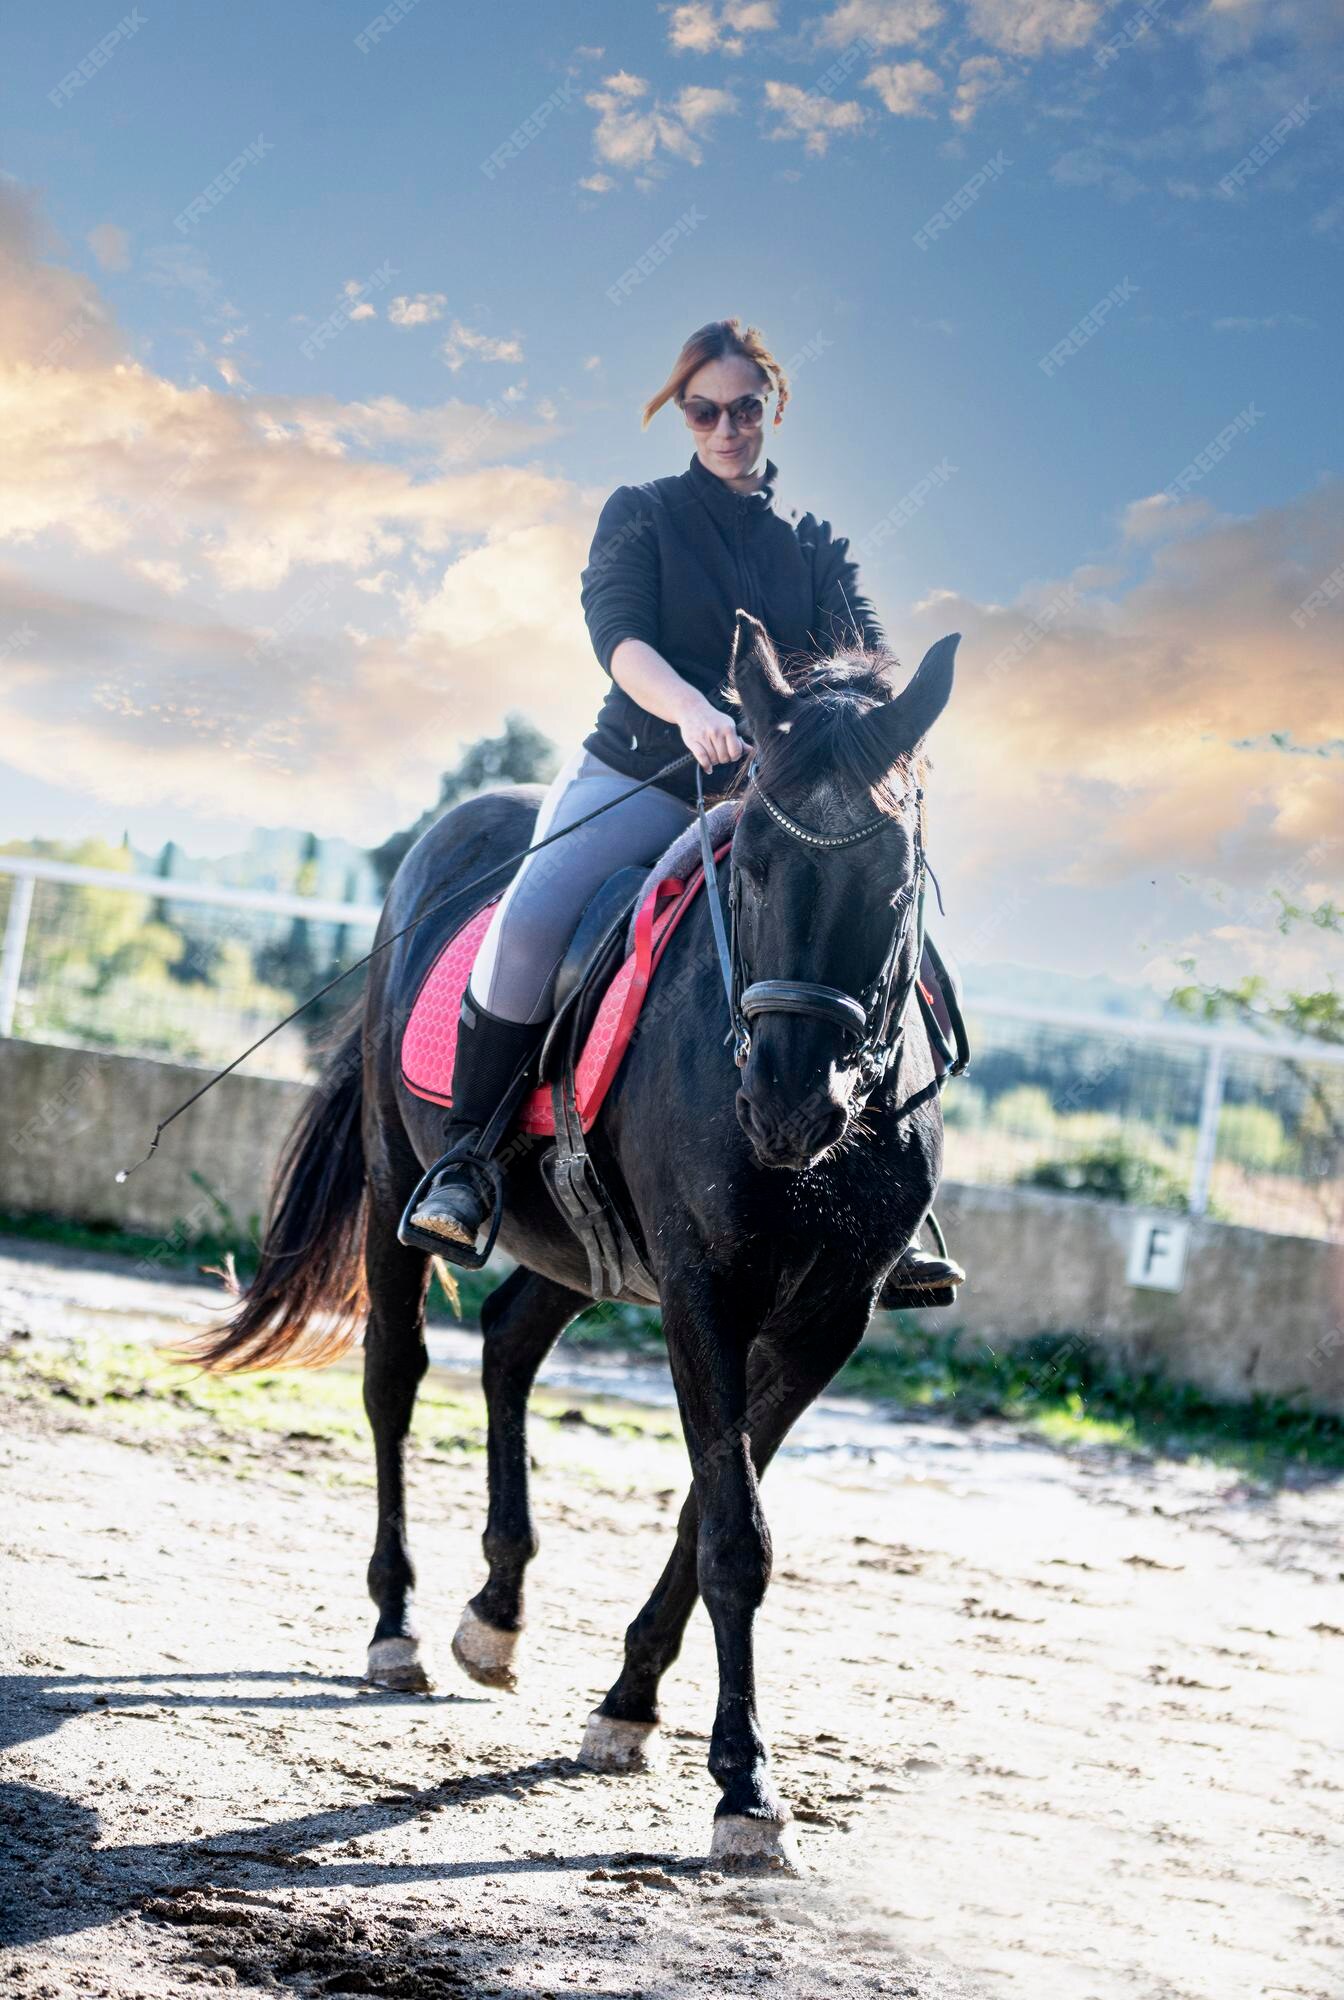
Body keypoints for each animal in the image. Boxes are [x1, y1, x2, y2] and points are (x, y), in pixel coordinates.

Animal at [194, 616, 960, 1864]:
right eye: (750, 860)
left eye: (894, 879)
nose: (789, 1102)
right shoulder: (703, 1285)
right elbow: (735, 1532)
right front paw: (745, 1789)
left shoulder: (826, 1316)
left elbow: (712, 1503)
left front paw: (631, 1703)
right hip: (399, 1176)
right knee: (394, 1374)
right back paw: (397, 1623)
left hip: (582, 1244)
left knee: (509, 1336)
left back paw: (497, 1613)